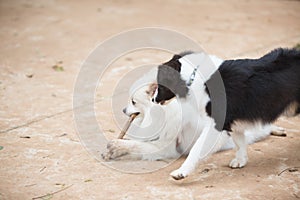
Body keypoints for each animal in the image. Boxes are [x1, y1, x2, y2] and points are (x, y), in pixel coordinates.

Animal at [154, 48, 300, 180]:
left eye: (160, 86)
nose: (153, 100)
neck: (194, 77)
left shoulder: (216, 125)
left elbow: (197, 148)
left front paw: (181, 172)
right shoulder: (232, 122)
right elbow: (239, 141)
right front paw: (241, 160)